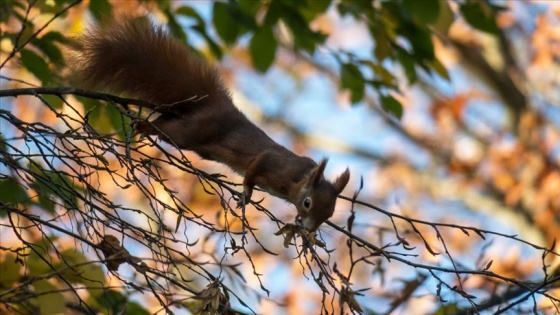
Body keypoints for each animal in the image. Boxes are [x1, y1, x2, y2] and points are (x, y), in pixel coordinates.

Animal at [70, 17, 350, 233]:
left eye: (330, 214)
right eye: (307, 203)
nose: (309, 229)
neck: (299, 178)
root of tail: (217, 105)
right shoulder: (273, 163)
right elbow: (254, 168)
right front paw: (247, 192)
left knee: (165, 122)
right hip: (196, 130)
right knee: (172, 129)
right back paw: (144, 128)